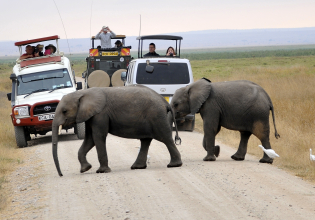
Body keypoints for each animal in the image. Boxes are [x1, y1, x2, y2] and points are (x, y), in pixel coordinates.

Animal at [51, 85, 183, 176]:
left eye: (64, 111)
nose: (61, 174)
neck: (82, 93)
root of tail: (165, 102)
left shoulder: (100, 114)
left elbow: (98, 136)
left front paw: (102, 171)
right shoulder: (89, 116)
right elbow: (90, 139)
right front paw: (85, 169)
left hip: (157, 116)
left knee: (165, 138)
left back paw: (174, 165)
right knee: (145, 141)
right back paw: (137, 167)